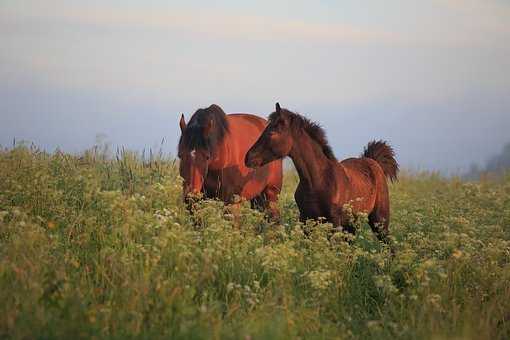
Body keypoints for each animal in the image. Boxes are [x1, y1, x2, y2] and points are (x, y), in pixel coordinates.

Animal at [246, 102, 398, 240]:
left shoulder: (334, 223)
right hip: (351, 225)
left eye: (272, 132)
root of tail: (374, 162)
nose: (248, 158)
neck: (317, 180)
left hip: (379, 221)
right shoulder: (306, 220)